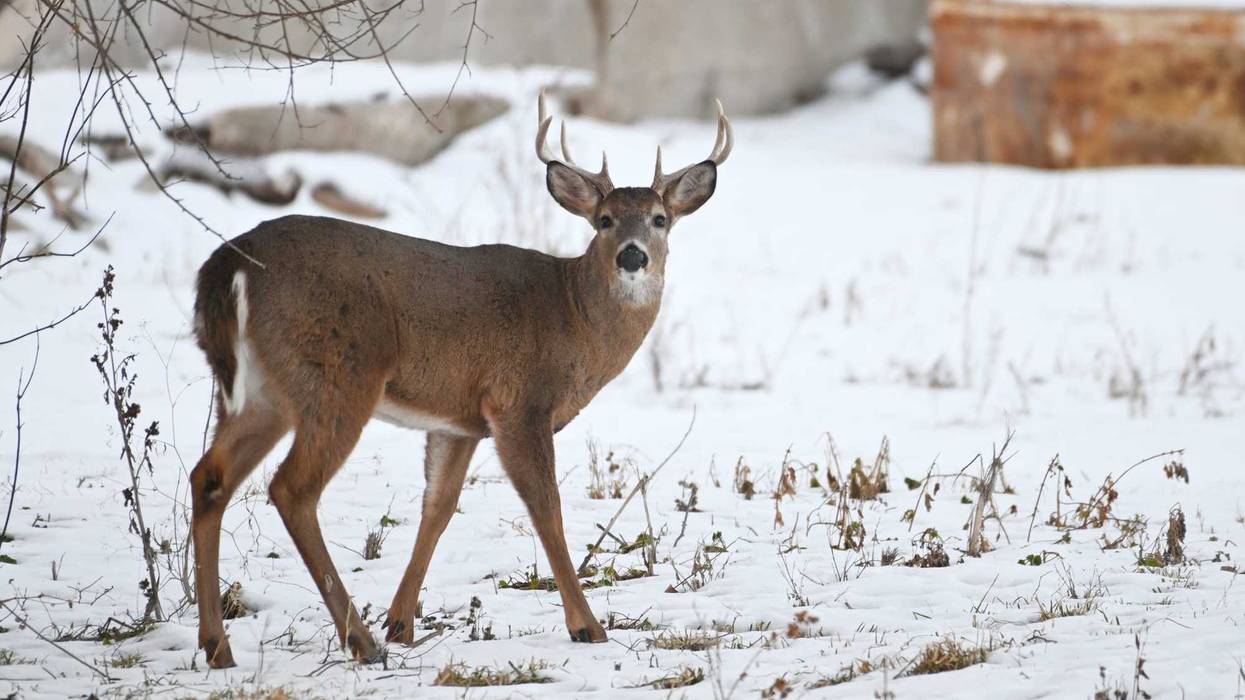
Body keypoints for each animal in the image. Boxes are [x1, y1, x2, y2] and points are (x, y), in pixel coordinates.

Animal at [189, 91, 732, 668]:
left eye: (659, 218)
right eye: (604, 220)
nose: (633, 254)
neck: (573, 316)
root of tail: (226, 267)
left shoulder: (460, 421)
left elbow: (439, 505)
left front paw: (402, 622)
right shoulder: (520, 401)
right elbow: (546, 505)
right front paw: (587, 626)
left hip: (260, 391)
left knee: (210, 477)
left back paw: (219, 646)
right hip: (339, 374)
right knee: (292, 488)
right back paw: (359, 641)